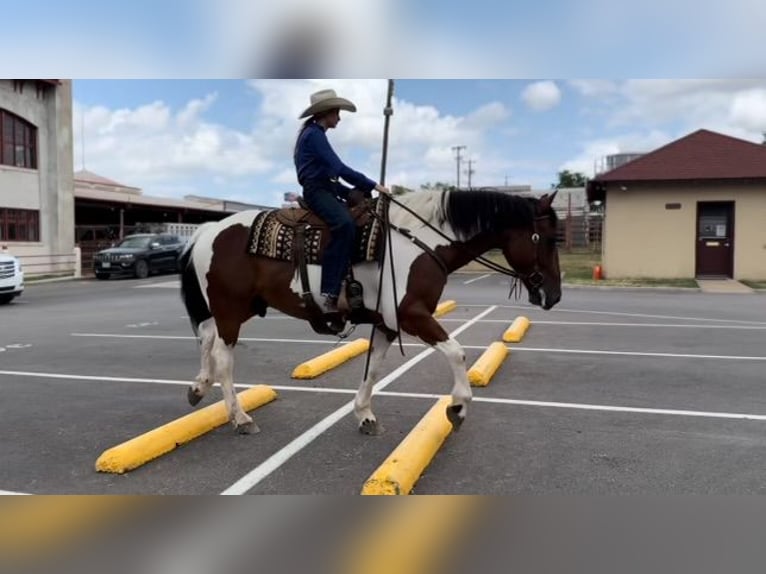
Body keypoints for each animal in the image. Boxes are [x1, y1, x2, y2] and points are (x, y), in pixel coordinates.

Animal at [180, 189, 564, 436]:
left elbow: (374, 367)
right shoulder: (412, 315)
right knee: (223, 356)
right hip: (231, 308)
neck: (419, 243)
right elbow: (457, 353)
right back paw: (240, 417)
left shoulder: (387, 323)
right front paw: (458, 407)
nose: (555, 295)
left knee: (207, 337)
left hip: (236, 308)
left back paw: (199, 387)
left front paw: (364, 414)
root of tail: (208, 230)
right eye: (546, 239)